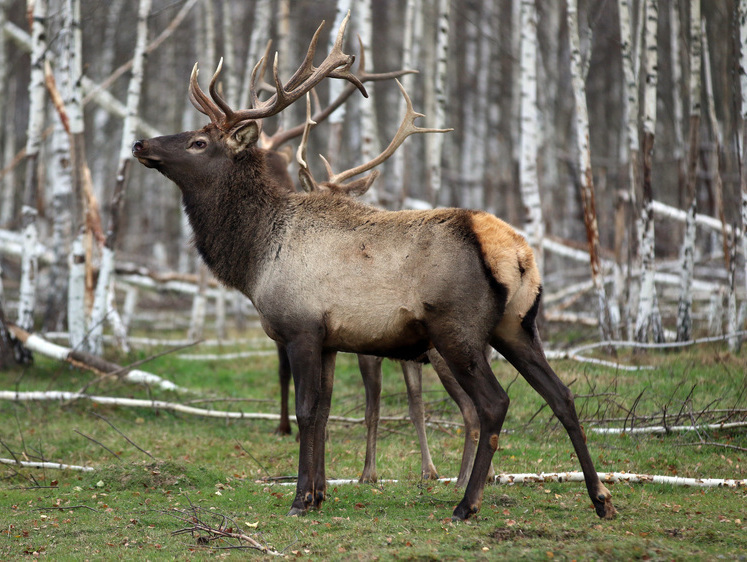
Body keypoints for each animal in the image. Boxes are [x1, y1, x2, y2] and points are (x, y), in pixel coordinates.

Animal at [131, 14, 616, 520]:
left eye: (198, 141)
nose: (140, 143)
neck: (255, 257)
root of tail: (513, 250)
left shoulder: (302, 328)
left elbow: (306, 411)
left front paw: (300, 498)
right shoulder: (329, 340)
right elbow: (323, 413)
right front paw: (319, 493)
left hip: (457, 328)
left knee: (494, 403)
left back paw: (467, 503)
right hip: (518, 325)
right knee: (562, 395)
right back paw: (600, 498)